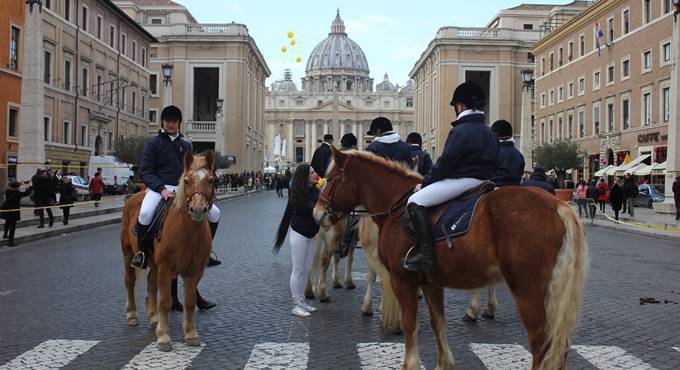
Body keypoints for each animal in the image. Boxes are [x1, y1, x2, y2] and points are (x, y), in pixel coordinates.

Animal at [120, 150, 215, 350]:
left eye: (211, 180)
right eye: (186, 180)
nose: (197, 210)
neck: (189, 233)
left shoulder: (194, 271)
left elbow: (189, 301)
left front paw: (191, 334)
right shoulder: (166, 268)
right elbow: (165, 301)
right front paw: (163, 336)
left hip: (154, 264)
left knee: (151, 282)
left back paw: (153, 316)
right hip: (128, 255)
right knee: (130, 281)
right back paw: (132, 314)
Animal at [316, 147, 588, 370]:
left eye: (330, 179)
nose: (318, 213)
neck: (396, 205)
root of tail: (558, 206)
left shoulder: (403, 280)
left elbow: (410, 324)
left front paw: (410, 362)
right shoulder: (431, 282)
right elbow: (438, 323)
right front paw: (443, 363)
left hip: (527, 289)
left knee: (541, 342)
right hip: (553, 291)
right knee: (560, 345)